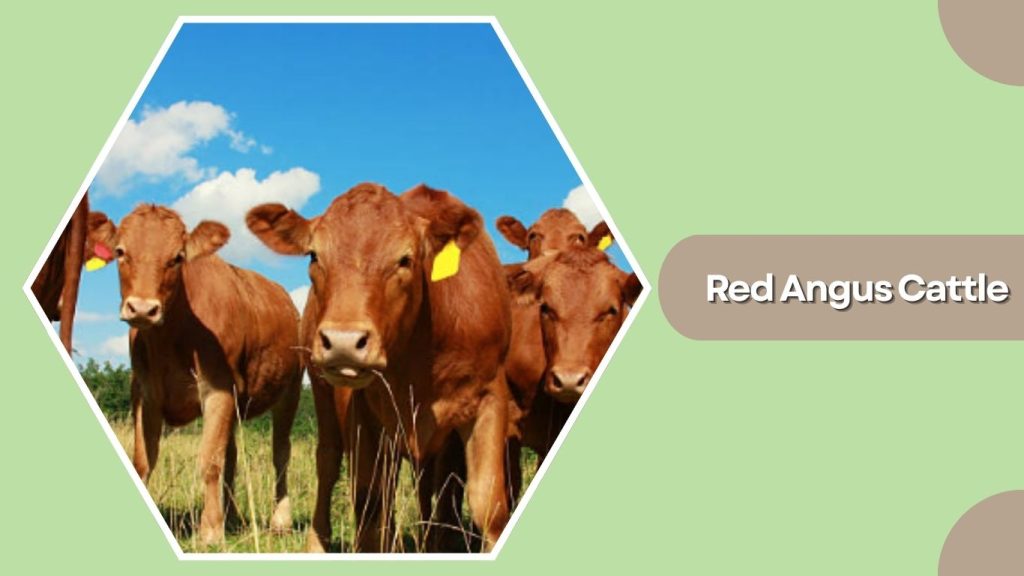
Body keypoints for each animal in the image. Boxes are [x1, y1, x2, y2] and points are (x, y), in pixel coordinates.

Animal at [87, 205, 302, 546]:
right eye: (120, 252)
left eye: (177, 257)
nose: (143, 309)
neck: (170, 339)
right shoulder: (144, 392)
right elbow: (144, 460)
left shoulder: (218, 389)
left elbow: (209, 461)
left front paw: (210, 532)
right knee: (232, 455)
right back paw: (231, 517)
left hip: (290, 389)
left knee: (280, 451)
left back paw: (279, 521)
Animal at [246, 182, 513, 553]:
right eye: (314, 255)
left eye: (405, 259)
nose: (343, 341)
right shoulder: (362, 409)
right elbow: (369, 500)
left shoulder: (490, 397)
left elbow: (487, 502)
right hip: (322, 391)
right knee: (330, 463)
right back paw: (318, 541)